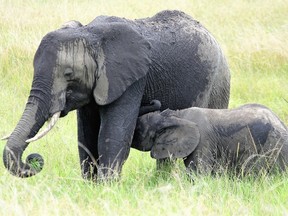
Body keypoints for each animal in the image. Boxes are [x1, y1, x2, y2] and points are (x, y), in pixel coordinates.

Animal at [3, 9, 231, 181]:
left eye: (68, 74)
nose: (32, 160)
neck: (90, 34)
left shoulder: (131, 79)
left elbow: (113, 133)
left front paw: (107, 187)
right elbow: (86, 135)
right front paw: (90, 185)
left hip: (217, 84)